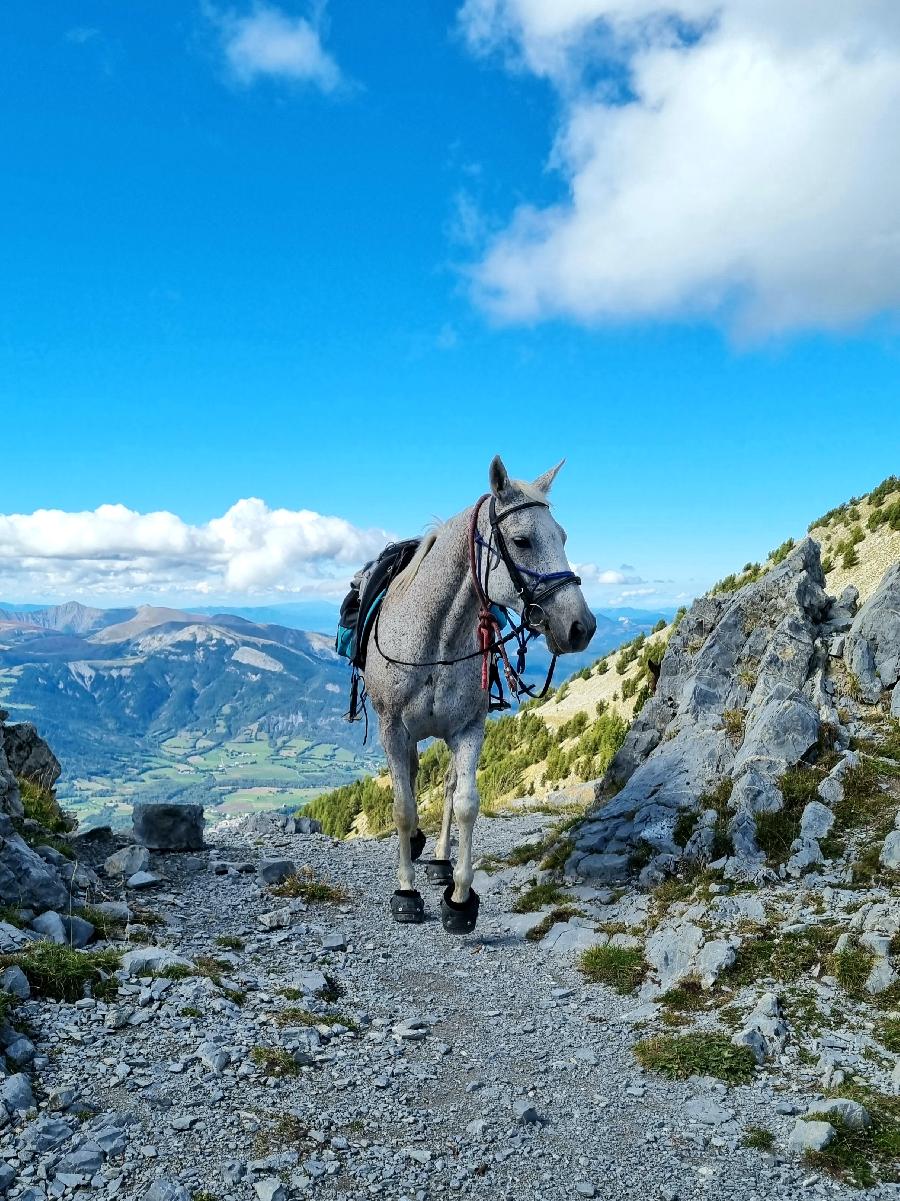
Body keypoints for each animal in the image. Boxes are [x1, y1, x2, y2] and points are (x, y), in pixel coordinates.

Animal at [360, 453, 593, 931]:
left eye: (562, 536)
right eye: (521, 541)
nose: (581, 627)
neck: (435, 641)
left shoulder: (469, 728)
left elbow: (466, 802)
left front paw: (461, 898)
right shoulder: (392, 729)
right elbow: (402, 807)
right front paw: (406, 890)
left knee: (447, 786)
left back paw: (439, 859)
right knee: (413, 778)